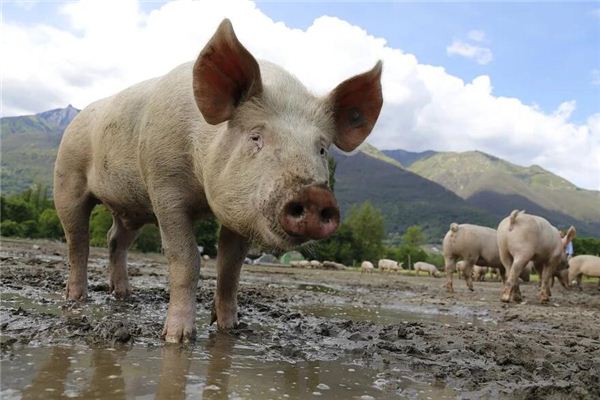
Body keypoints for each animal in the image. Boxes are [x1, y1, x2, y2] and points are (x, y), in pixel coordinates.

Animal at [55, 19, 384, 344]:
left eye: (322, 149)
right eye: (256, 137)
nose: (315, 195)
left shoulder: (241, 211)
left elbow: (230, 268)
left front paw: (230, 329)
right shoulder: (164, 188)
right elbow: (186, 259)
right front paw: (178, 338)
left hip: (130, 209)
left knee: (114, 239)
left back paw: (124, 295)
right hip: (67, 177)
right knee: (78, 240)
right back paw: (76, 299)